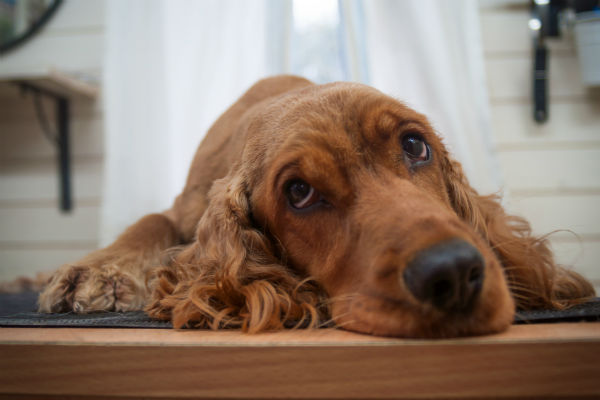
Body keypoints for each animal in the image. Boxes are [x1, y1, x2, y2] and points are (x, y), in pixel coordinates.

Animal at [38, 76, 596, 338]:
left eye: (416, 145)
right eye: (299, 192)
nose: (453, 273)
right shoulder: (185, 207)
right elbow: (151, 220)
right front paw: (96, 272)